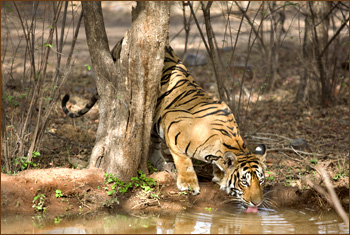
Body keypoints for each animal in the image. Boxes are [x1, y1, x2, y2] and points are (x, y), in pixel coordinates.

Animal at [61, 40, 266, 207]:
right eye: (244, 182)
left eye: (261, 181)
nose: (257, 203)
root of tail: (122, 39)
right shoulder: (173, 124)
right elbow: (183, 160)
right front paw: (189, 184)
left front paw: (219, 176)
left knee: (152, 147)